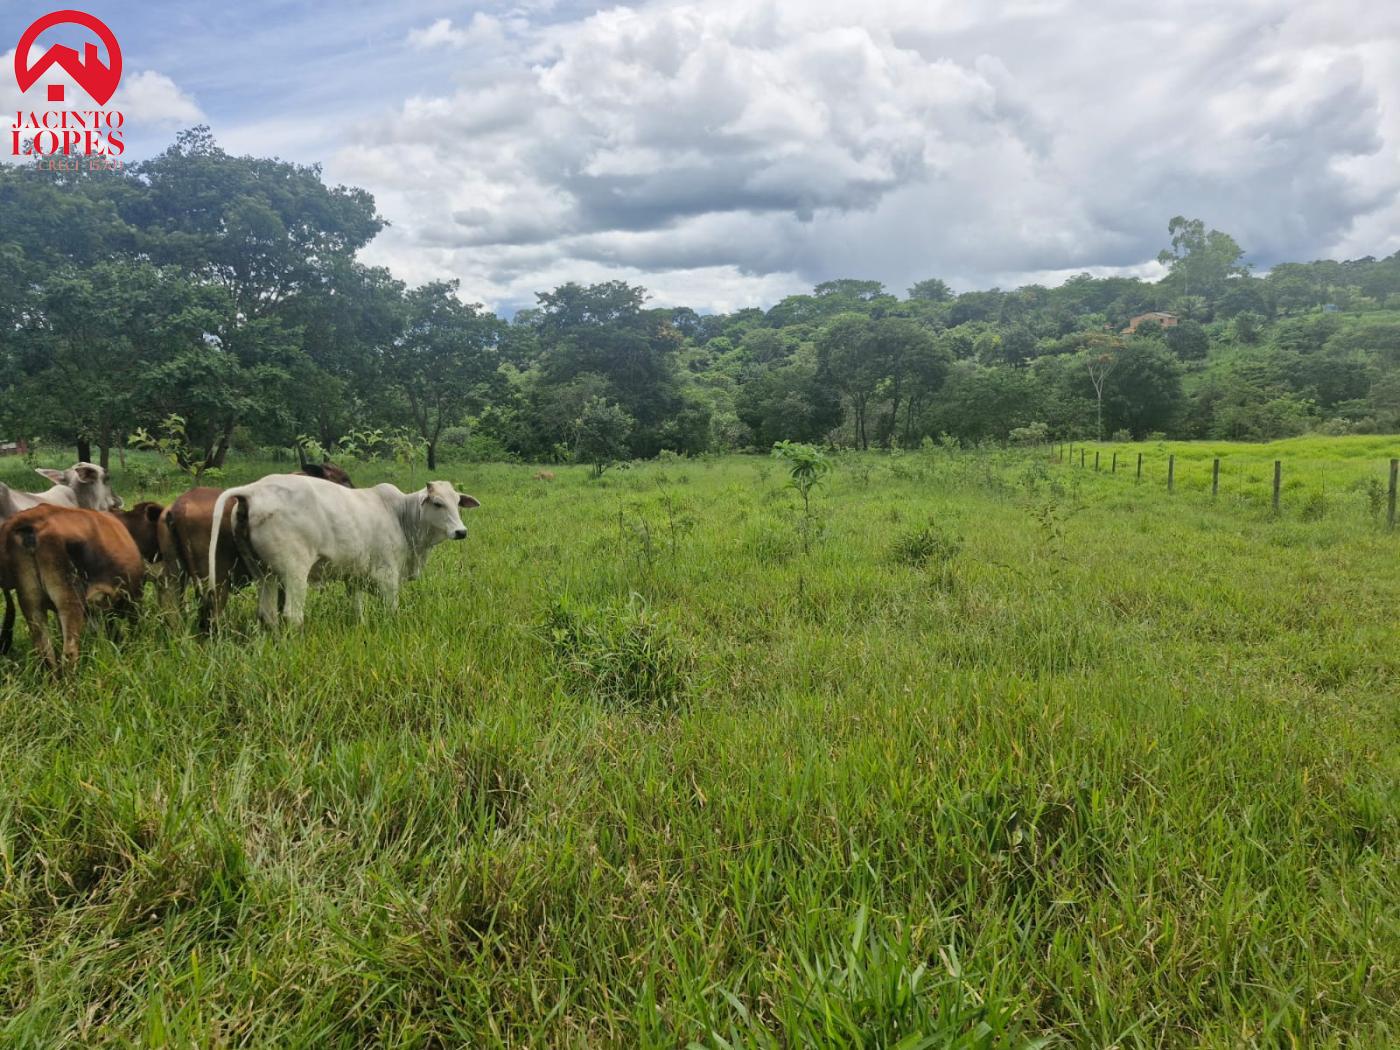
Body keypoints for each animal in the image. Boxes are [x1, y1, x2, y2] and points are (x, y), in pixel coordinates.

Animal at [160, 462, 355, 630]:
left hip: (174, 579)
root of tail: (179, 506)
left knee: (174, 615)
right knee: (211, 617)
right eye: (344, 479)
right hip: (216, 580)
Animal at [207, 476, 478, 630]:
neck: (401, 515)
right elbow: (391, 609)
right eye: (438, 503)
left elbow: (357, 609)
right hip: (294, 571)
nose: (461, 531)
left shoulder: (354, 577)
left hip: (264, 573)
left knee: (267, 613)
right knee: (292, 614)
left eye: (457, 502)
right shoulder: (388, 575)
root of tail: (254, 490)